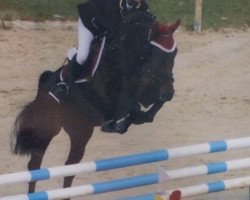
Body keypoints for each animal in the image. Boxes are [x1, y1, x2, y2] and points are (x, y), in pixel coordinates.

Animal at [10, 9, 179, 198]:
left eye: (175, 53)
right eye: (156, 53)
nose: (169, 92)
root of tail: (43, 86)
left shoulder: (147, 90)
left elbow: (150, 105)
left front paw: (138, 116)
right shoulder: (106, 97)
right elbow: (129, 104)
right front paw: (120, 123)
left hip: (81, 133)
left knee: (69, 168)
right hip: (48, 129)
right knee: (36, 166)